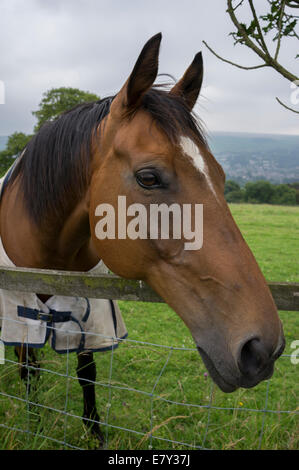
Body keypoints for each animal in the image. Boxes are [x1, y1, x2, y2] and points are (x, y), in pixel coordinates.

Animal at [0, 33, 286, 444]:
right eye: (148, 177)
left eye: (220, 175)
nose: (263, 347)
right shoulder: (19, 316)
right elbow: (30, 370)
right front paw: (35, 425)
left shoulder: (91, 314)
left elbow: (87, 373)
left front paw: (94, 434)